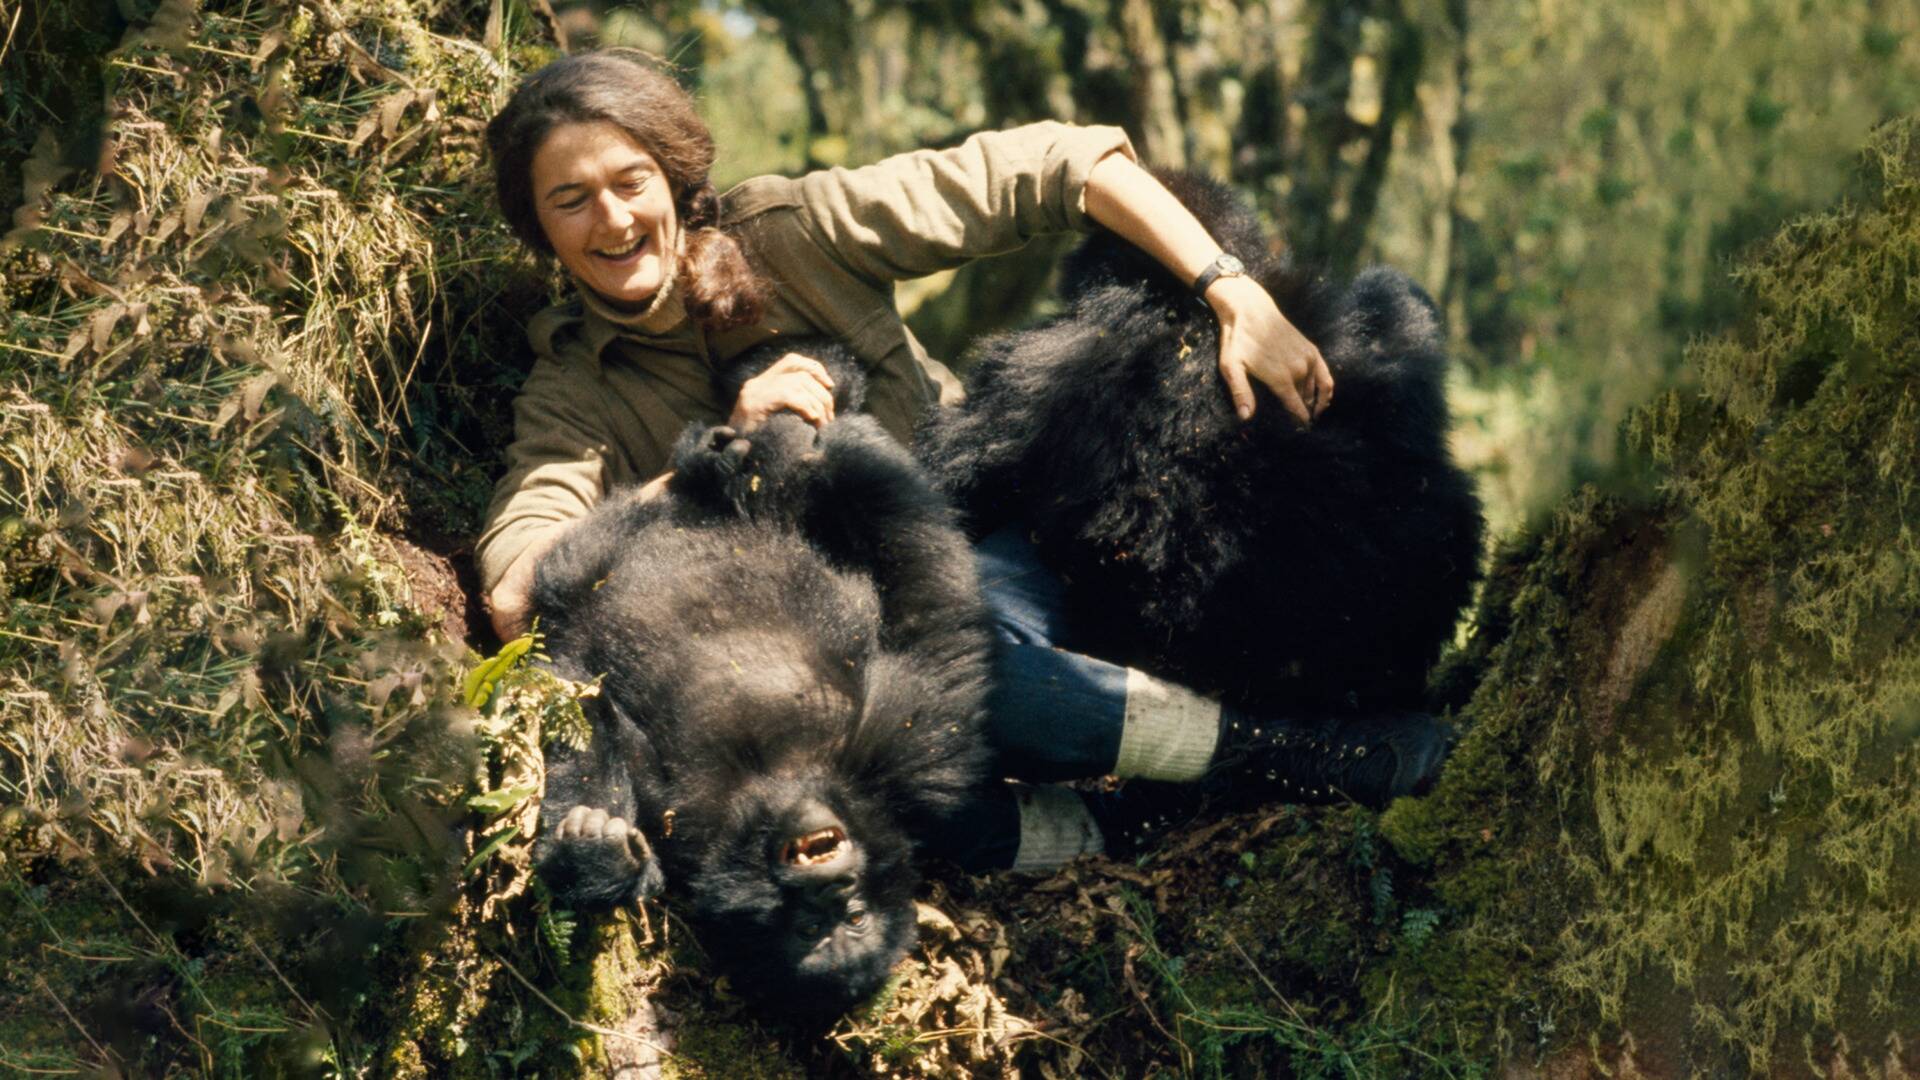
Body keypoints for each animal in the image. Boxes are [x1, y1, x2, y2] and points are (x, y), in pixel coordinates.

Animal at [529, 340, 990, 1014]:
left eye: (847, 919)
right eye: (822, 920)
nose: (829, 883)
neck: (779, 776)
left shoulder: (688, 826)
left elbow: (591, 712)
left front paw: (595, 859)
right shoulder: (916, 750)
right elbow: (926, 598)